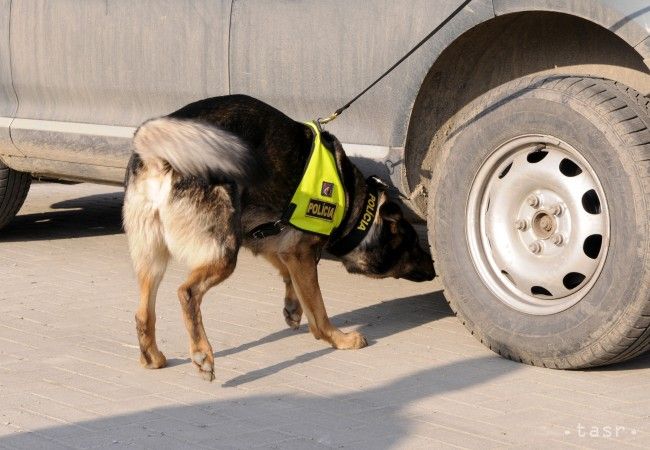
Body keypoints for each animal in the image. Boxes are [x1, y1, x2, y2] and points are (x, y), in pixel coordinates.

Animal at [123, 95, 436, 380]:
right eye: (414, 244)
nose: (434, 266)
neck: (352, 201)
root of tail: (158, 155)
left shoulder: (273, 242)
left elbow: (288, 274)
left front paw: (293, 306)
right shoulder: (300, 251)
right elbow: (318, 312)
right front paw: (338, 339)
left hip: (152, 258)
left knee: (143, 313)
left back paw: (152, 357)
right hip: (224, 254)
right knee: (187, 293)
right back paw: (202, 354)